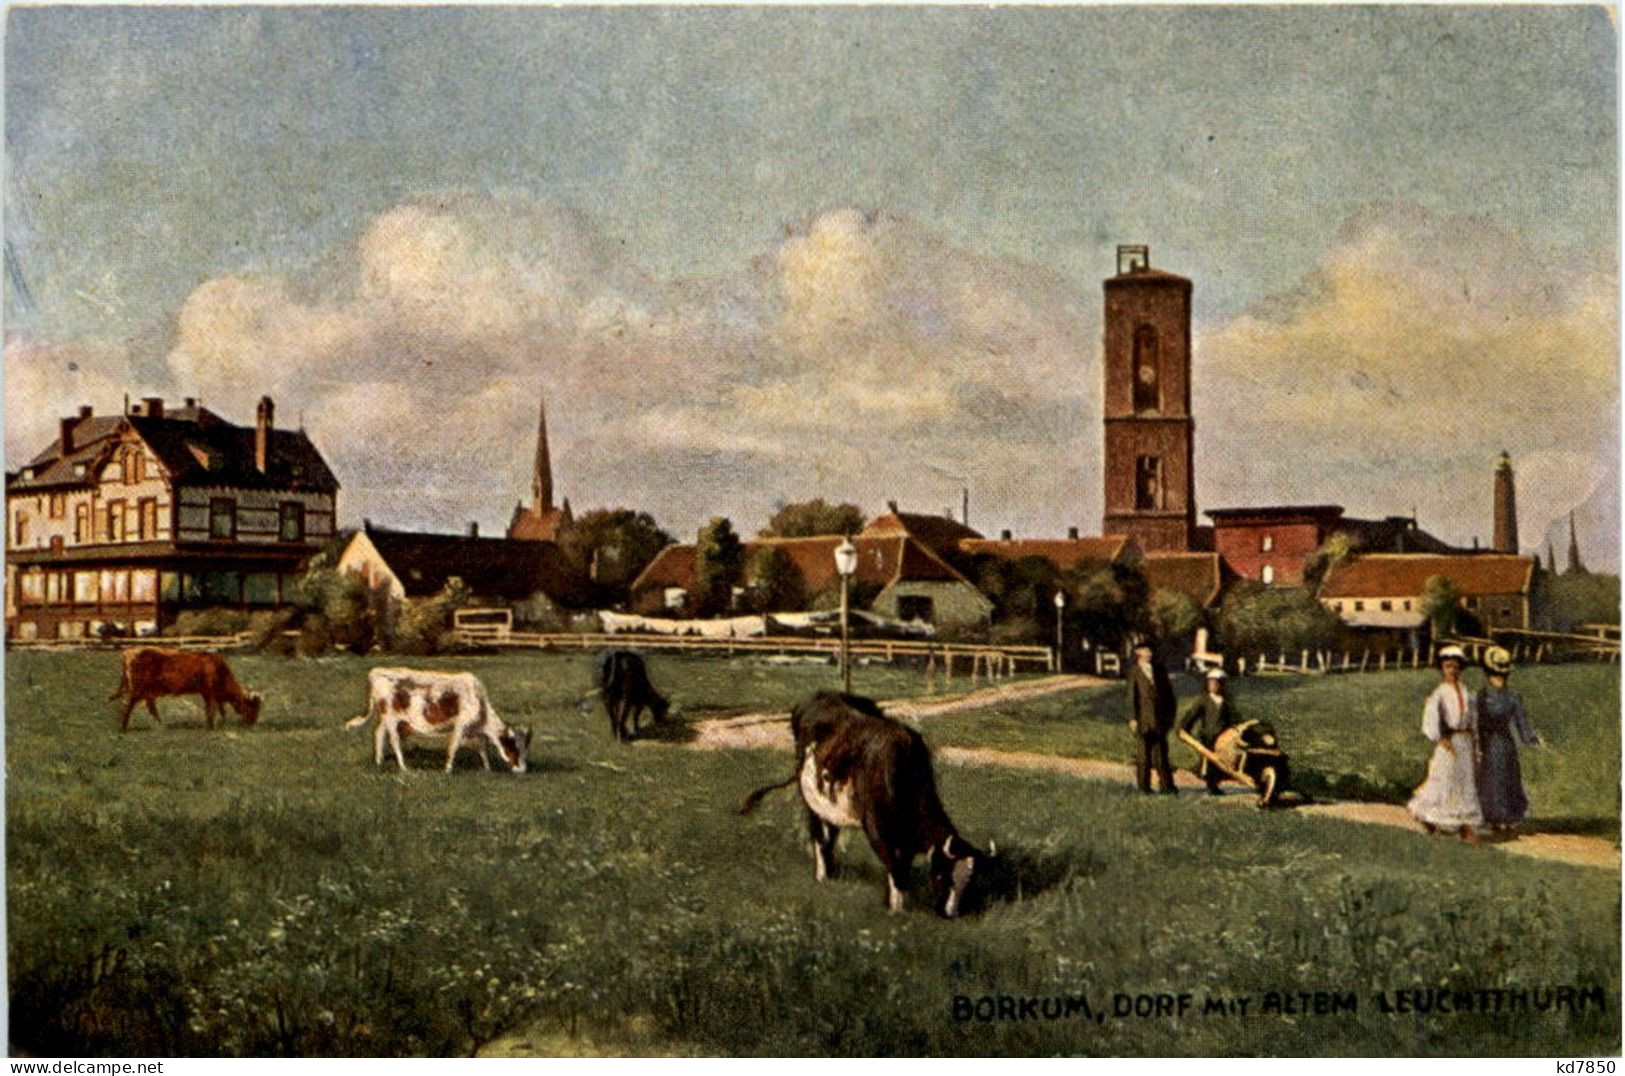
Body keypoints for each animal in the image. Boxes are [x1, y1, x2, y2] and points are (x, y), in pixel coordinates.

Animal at [109, 650, 261, 734]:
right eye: (252, 707)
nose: (253, 724)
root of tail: (129, 653)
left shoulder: (208, 694)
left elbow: (218, 710)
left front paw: (217, 724)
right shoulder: (211, 693)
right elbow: (212, 710)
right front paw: (211, 726)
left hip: (146, 691)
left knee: (149, 706)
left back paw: (161, 726)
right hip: (137, 689)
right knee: (127, 705)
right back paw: (123, 728)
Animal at [346, 666, 529, 776]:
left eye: (523, 748)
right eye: (512, 746)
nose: (522, 770)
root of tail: (377, 671)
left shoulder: (475, 732)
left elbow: (483, 750)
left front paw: (487, 769)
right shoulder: (461, 726)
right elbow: (454, 748)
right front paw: (447, 770)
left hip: (385, 719)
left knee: (378, 733)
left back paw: (379, 762)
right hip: (391, 719)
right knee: (394, 741)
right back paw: (404, 768)